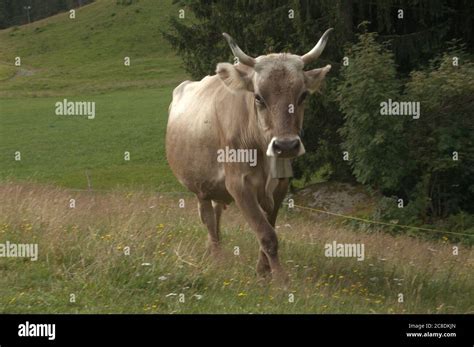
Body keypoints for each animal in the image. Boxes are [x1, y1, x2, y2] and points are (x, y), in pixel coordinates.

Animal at [167, 29, 334, 286]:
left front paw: (263, 271)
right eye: (258, 97)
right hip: (199, 186)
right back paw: (217, 257)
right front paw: (280, 280)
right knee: (207, 218)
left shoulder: (280, 186)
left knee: (216, 215)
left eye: (303, 95)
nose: (286, 145)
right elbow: (266, 234)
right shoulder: (239, 184)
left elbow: (269, 227)